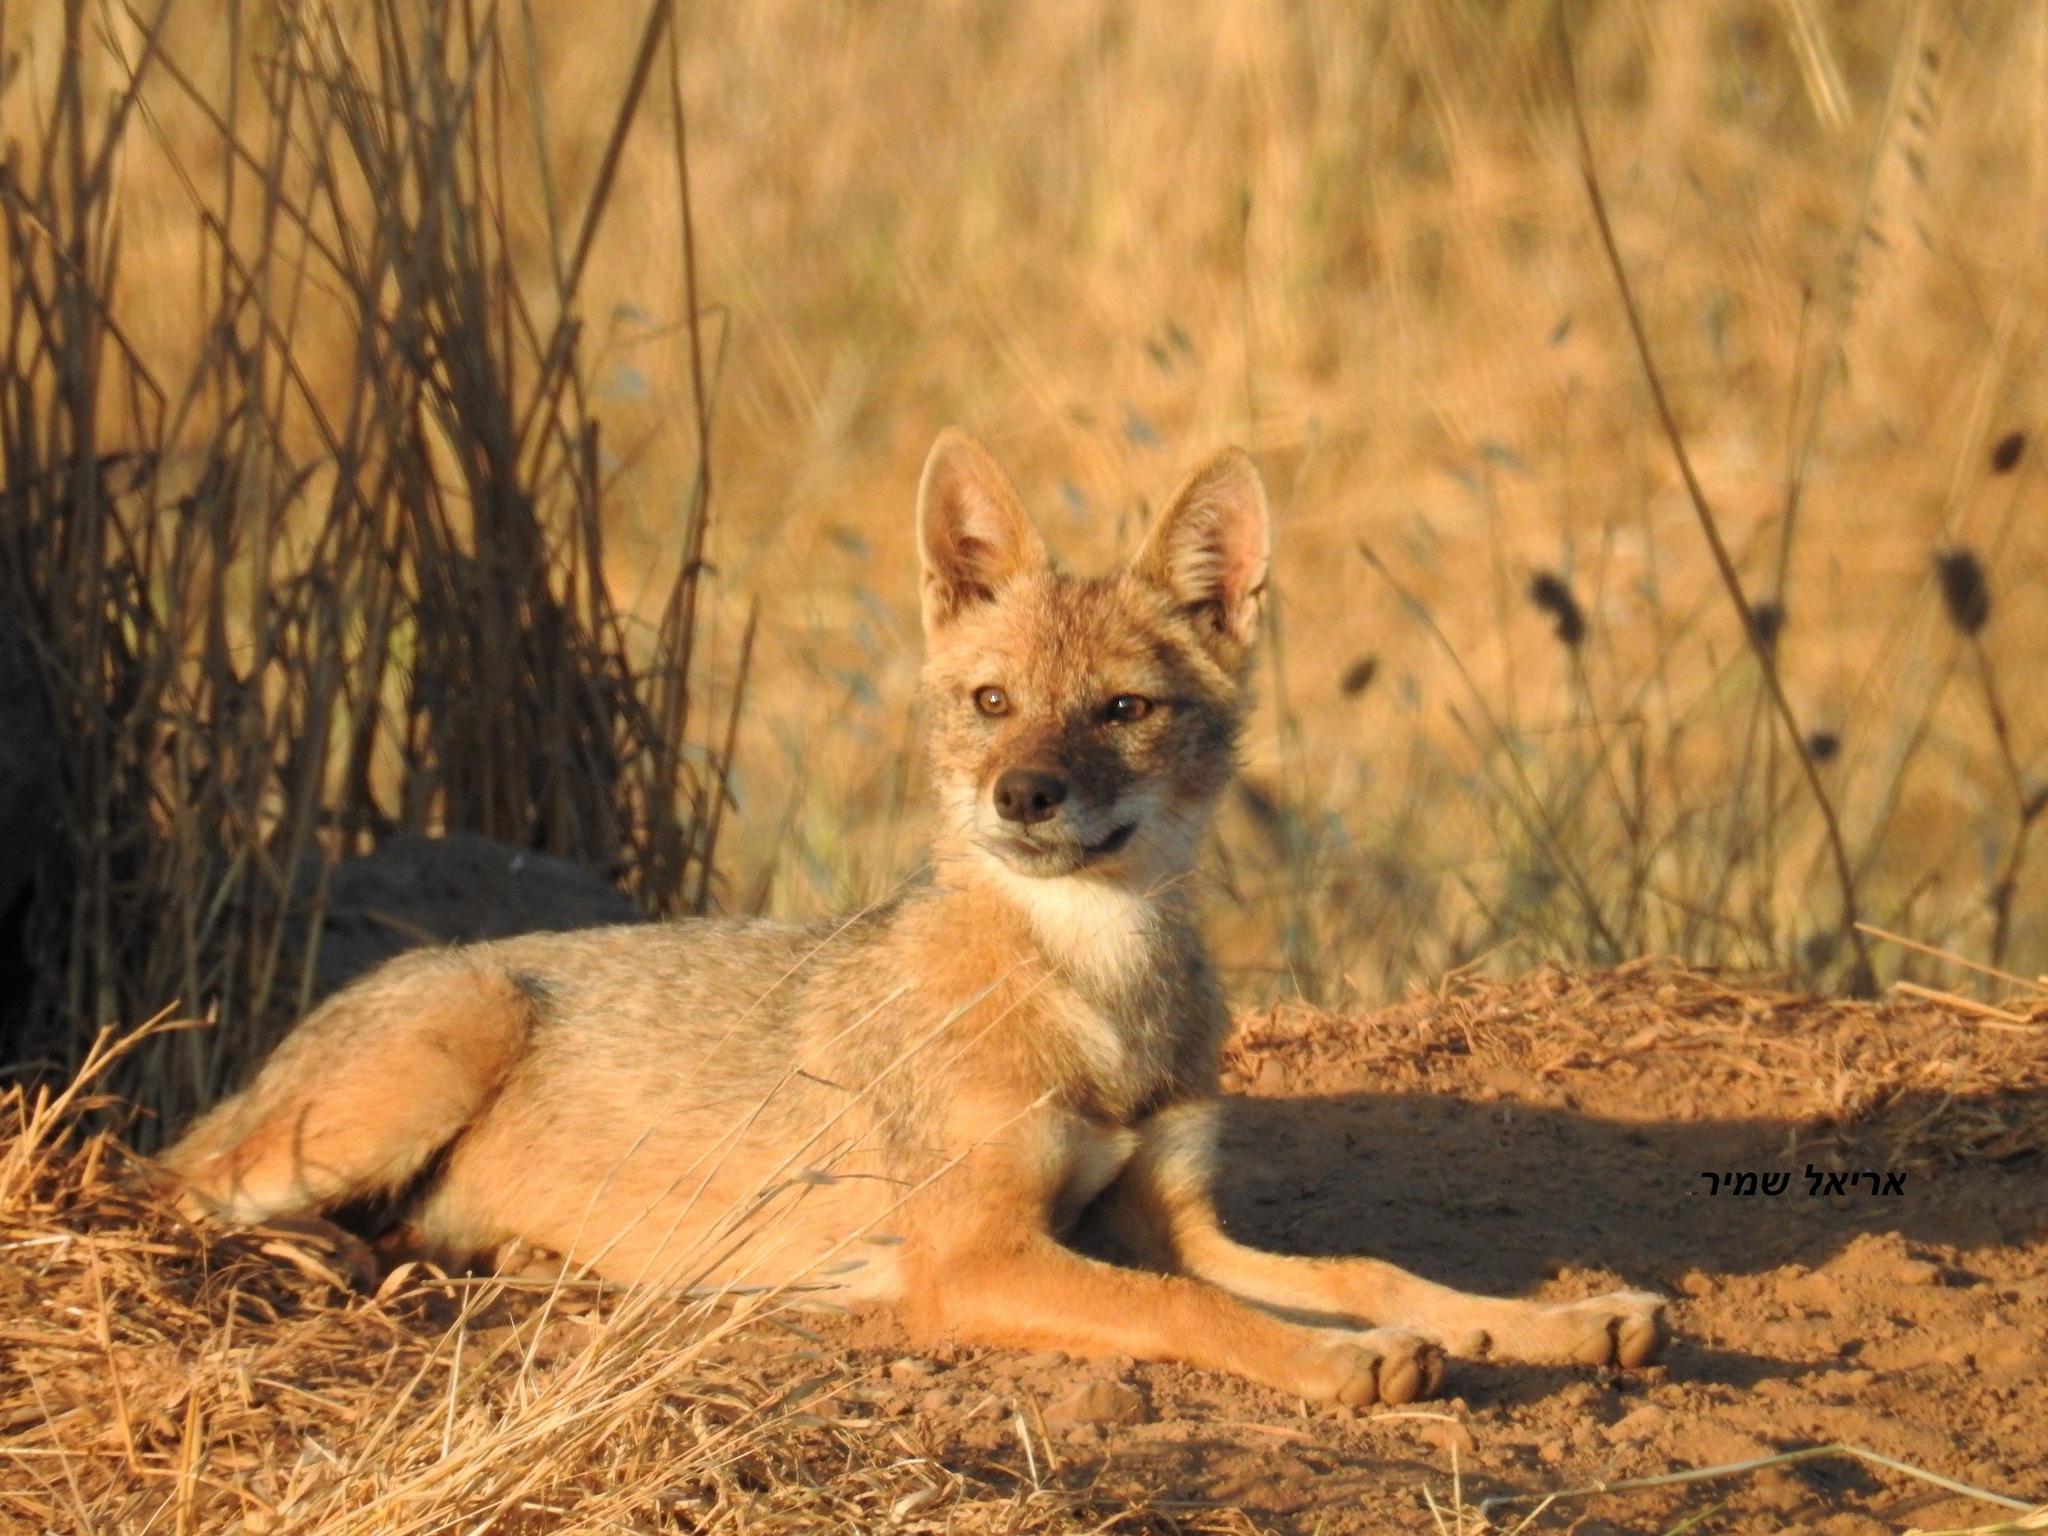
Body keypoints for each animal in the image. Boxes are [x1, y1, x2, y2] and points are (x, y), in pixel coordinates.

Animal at [166, 429, 1665, 1406]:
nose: (1024, 794)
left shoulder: (1166, 1213)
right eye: (994, 701)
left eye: (1123, 708)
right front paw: (1341, 1363)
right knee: (174, 1188)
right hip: (424, 1054)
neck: (1094, 994)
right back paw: (326, 1253)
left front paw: (1561, 1321)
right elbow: (1191, 1310)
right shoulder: (978, 1253)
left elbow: (1367, 1266)